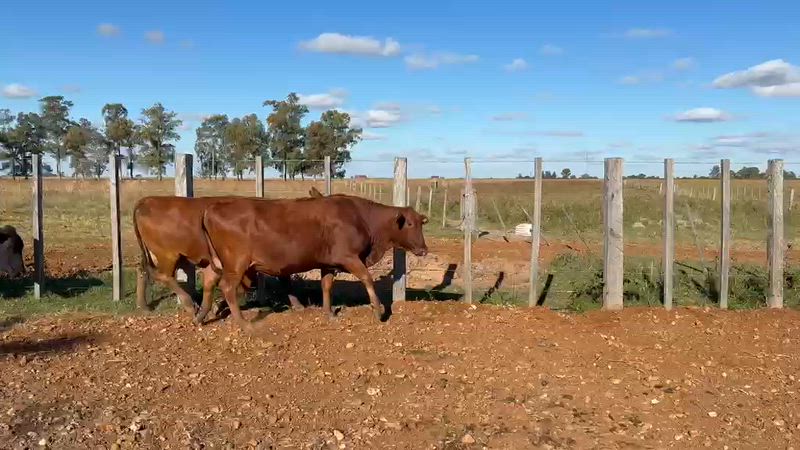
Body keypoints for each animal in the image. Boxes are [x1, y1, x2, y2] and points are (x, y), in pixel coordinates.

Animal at [133, 196, 305, 324]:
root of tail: (148, 200)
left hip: (154, 254)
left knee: (143, 270)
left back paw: (144, 305)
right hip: (168, 254)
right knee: (163, 276)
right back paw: (189, 305)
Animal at [200, 195, 429, 329]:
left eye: (420, 223)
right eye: (409, 224)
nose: (424, 250)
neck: (361, 217)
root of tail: (212, 208)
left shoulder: (328, 263)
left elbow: (326, 286)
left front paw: (329, 312)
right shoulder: (349, 257)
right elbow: (367, 278)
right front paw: (378, 310)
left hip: (217, 262)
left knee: (209, 281)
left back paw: (201, 314)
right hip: (236, 264)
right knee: (227, 287)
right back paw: (242, 322)